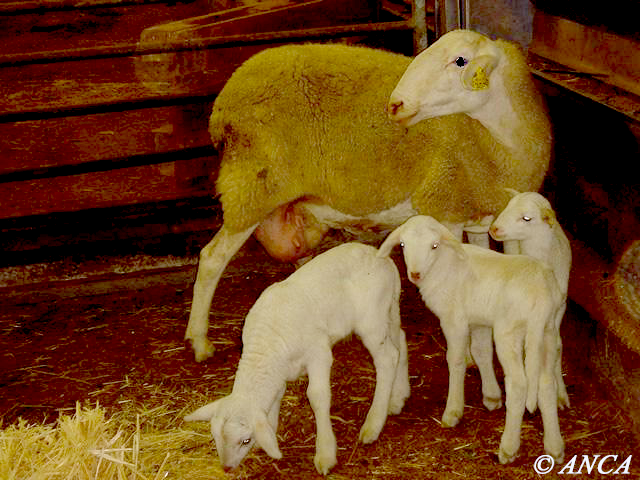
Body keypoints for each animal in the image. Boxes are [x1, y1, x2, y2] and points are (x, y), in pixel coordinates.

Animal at [184, 242, 410, 475]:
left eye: (245, 440)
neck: (264, 348)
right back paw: (398, 397)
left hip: (371, 320)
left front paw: (325, 453)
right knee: (400, 342)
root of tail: (379, 255)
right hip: (389, 309)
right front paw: (270, 434)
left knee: (387, 359)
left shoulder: (319, 353)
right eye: (215, 436)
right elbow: (276, 397)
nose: (227, 468)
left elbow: (317, 397)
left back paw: (373, 424)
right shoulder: (279, 372)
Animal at [185, 29, 552, 361]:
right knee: (212, 258)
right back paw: (200, 341)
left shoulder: (485, 213)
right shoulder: (445, 205)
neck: (497, 140)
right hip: (252, 188)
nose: (396, 104)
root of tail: (224, 101)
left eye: (460, 60)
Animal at [378, 215, 565, 464]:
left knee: (519, 384)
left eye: (434, 245)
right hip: (547, 332)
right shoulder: (479, 321)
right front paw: (491, 396)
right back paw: (554, 446)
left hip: (509, 332)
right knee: (546, 382)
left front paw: (453, 411)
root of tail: (541, 295)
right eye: (402, 245)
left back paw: (508, 447)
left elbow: (456, 360)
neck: (444, 265)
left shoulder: (454, 320)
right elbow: (481, 352)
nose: (415, 274)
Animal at [489, 190, 572, 408]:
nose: (494, 228)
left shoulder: (560, 308)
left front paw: (560, 393)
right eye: (508, 206)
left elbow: (558, 345)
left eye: (527, 218)